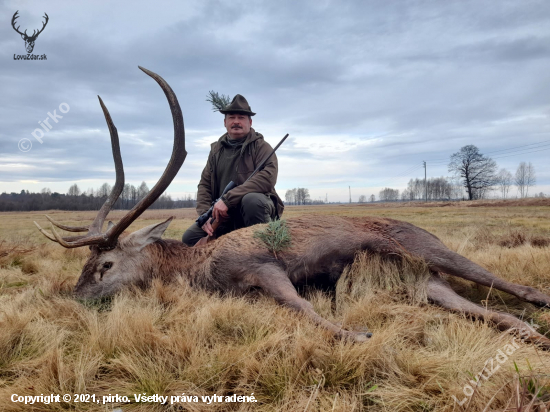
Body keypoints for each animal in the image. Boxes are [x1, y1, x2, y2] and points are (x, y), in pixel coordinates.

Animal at [35, 67, 550, 348]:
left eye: (105, 263)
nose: (73, 297)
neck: (199, 269)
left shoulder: (264, 265)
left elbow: (298, 306)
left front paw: (357, 334)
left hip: (426, 247)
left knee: (515, 285)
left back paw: (539, 307)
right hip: (425, 283)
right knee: (496, 315)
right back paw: (532, 334)